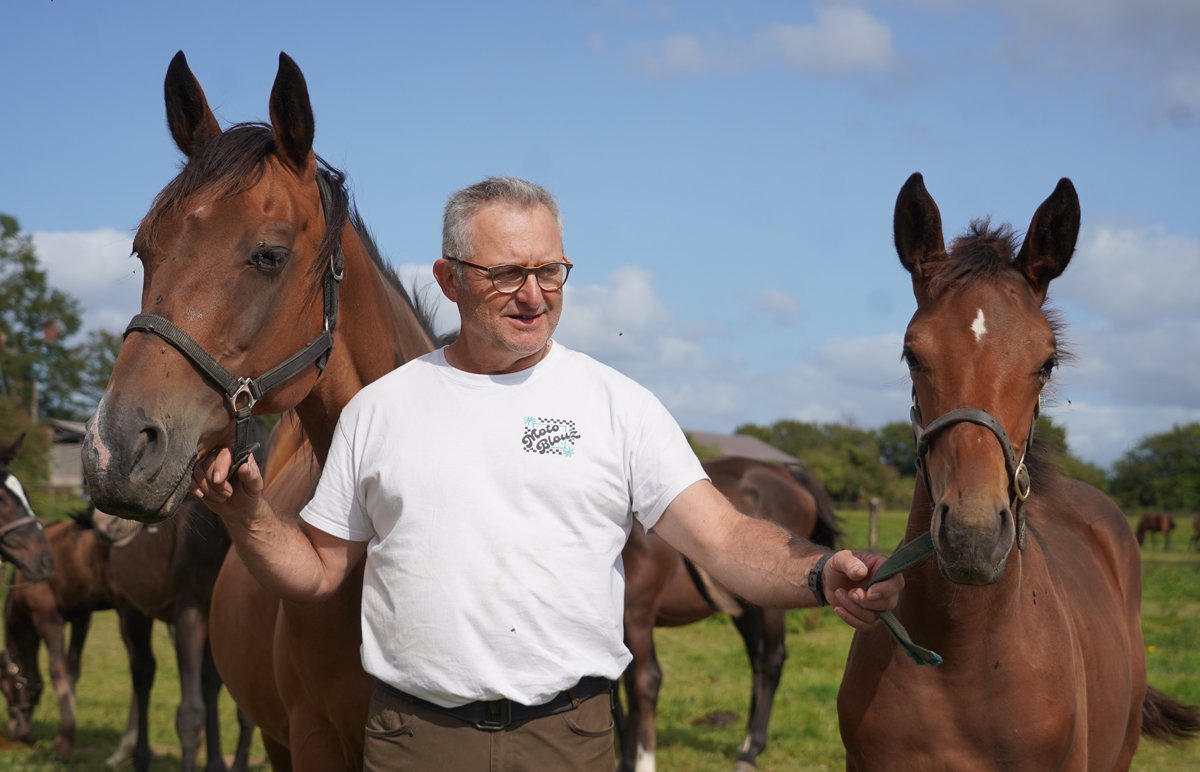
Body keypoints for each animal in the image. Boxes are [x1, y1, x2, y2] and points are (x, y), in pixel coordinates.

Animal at [619, 455, 842, 772]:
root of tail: (786, 471)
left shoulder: (637, 613)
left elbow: (644, 682)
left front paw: (642, 761)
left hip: (769, 603)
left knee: (772, 660)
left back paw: (751, 751)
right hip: (745, 607)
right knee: (757, 659)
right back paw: (748, 743)